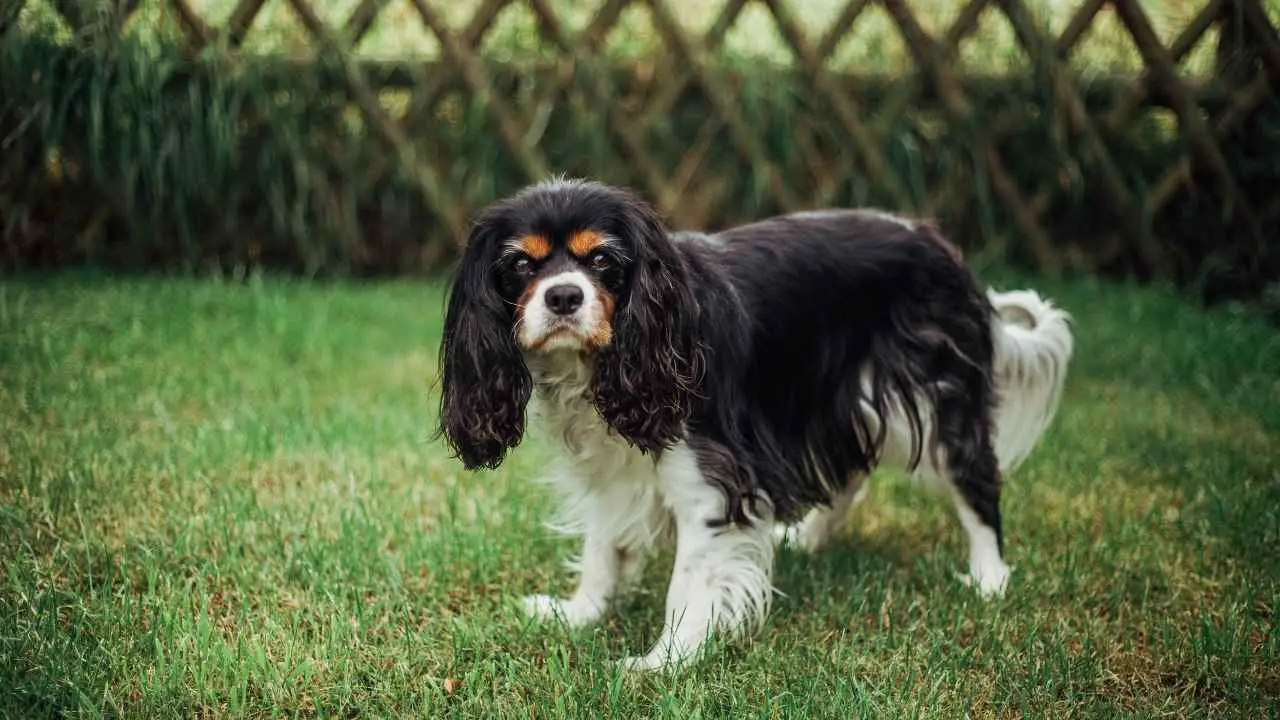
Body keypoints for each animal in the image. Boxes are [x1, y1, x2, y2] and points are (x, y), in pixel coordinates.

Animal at [435, 175, 1075, 666]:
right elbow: (603, 548)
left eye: (602, 261)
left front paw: (663, 662)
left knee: (976, 482)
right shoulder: (612, 469)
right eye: (521, 265)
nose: (564, 296)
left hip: (937, 398)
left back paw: (989, 578)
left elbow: (686, 585)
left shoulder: (710, 480)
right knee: (850, 472)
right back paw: (810, 538)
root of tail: (939, 243)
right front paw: (580, 613)